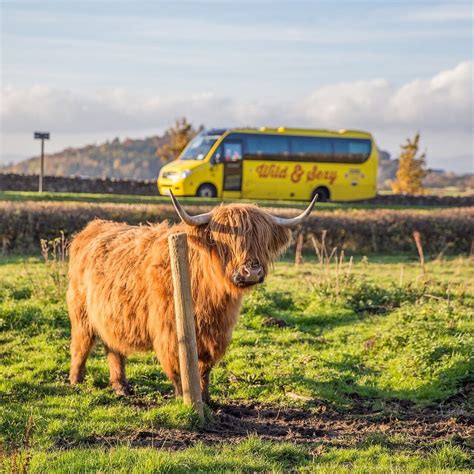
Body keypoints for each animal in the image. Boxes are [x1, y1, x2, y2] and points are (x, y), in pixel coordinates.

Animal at [66, 191, 316, 402]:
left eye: (262, 241)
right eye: (226, 243)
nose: (252, 271)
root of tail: (94, 226)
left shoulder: (215, 333)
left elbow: (204, 368)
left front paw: (205, 398)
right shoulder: (170, 330)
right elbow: (179, 367)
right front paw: (184, 398)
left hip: (111, 315)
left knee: (113, 348)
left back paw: (121, 387)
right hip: (81, 313)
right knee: (81, 346)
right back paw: (76, 382)